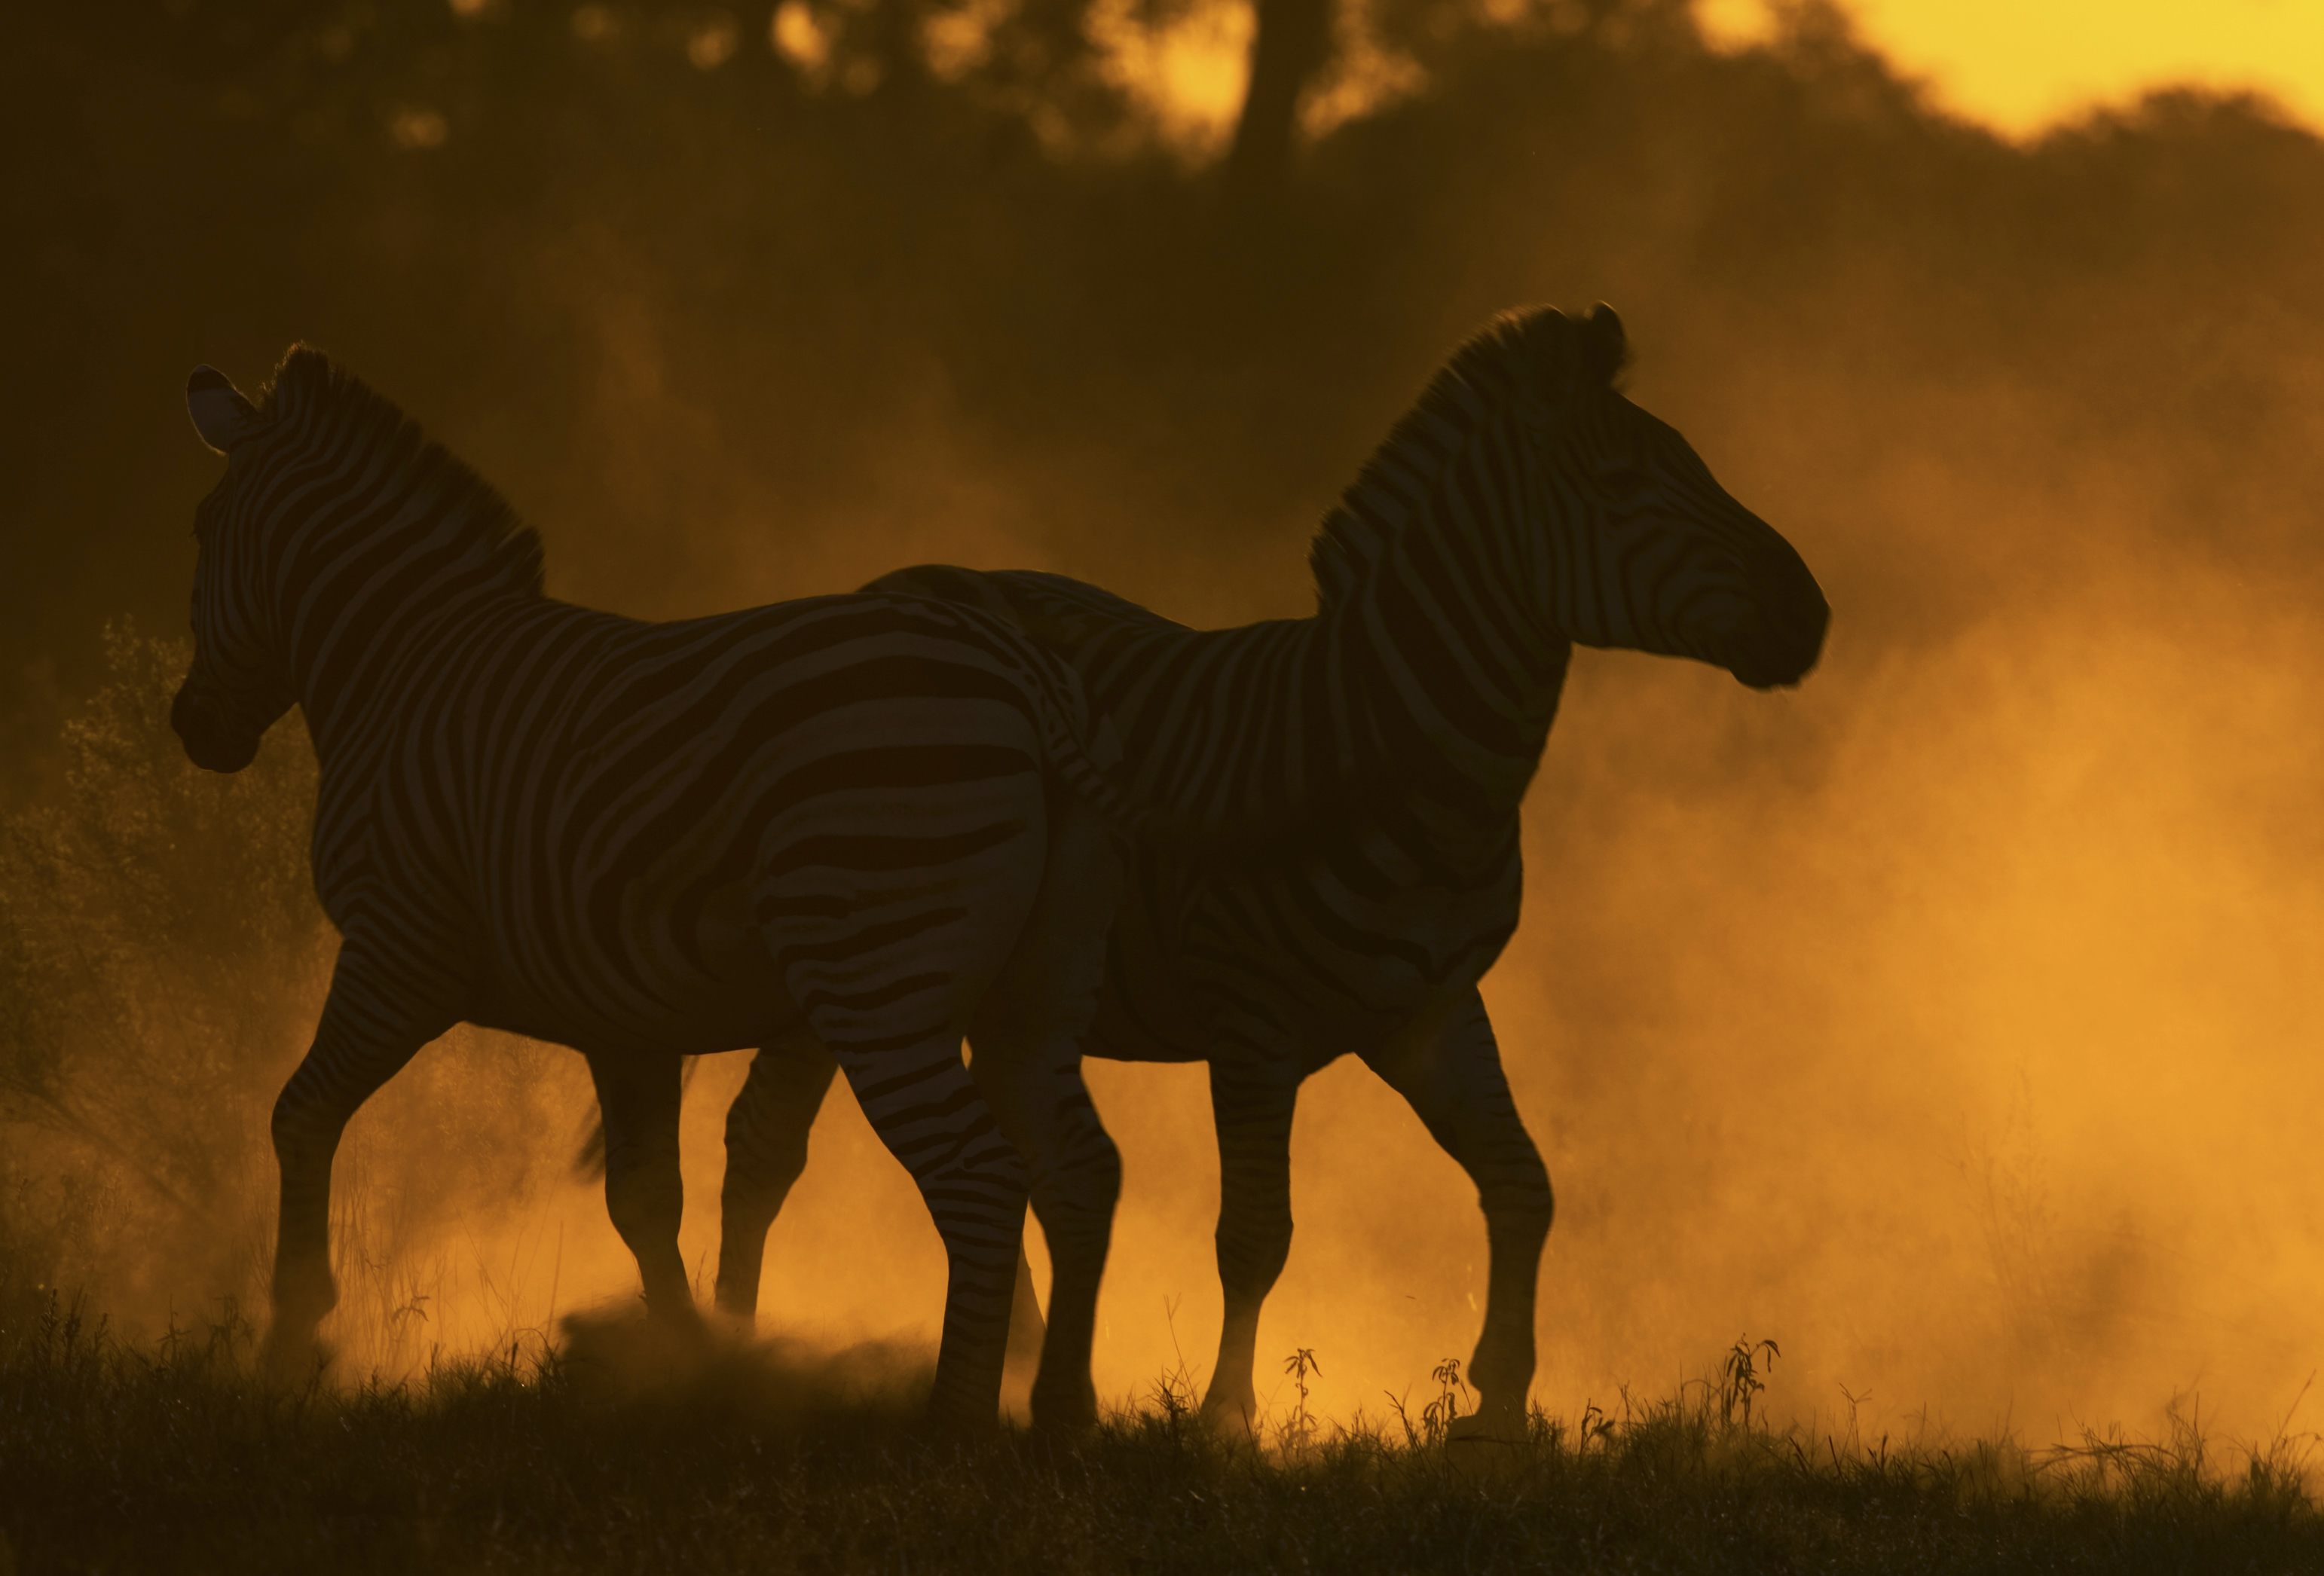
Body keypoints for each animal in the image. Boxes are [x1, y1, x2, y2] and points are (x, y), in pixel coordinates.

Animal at [171, 346, 1211, 1431]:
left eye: (202, 530)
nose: (194, 730)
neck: (400, 669)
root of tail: (1030, 672)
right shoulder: (617, 1015)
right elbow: (642, 1198)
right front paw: (687, 1365)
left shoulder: (396, 950)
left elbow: (300, 1114)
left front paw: (292, 1335)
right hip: (1035, 990)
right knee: (1080, 1170)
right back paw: (1062, 1412)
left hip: (882, 983)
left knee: (982, 1181)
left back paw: (953, 1422)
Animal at [707, 304, 1829, 1439]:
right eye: (1620, 481)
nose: (1811, 615)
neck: (1400, 772)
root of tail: (891, 585)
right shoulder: (1251, 1020)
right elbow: (1255, 1235)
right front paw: (1224, 1418)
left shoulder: (1431, 1010)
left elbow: (1524, 1186)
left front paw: (1499, 1407)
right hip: (860, 943)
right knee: (765, 1139)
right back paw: (723, 1354)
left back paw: (1011, 1359)